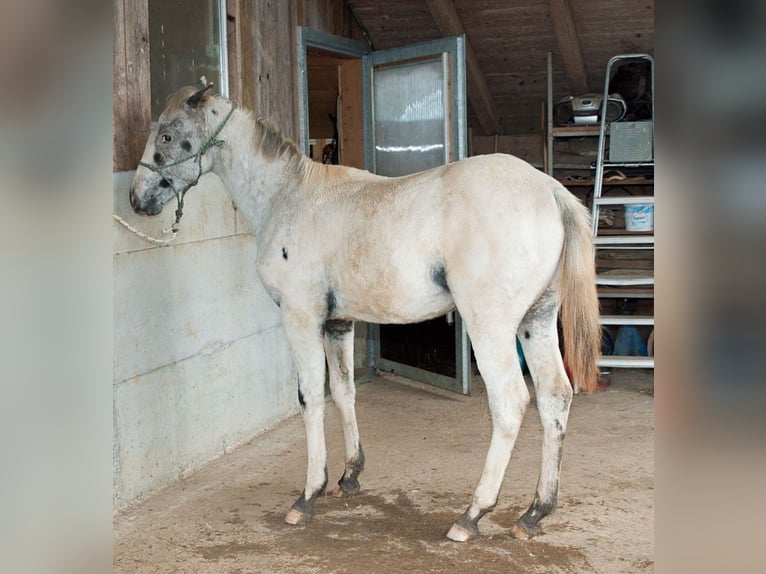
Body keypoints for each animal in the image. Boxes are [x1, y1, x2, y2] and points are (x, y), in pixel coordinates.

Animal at [129, 83, 604, 544]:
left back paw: (471, 516)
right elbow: (343, 392)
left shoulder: (301, 318)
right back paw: (535, 513)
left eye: (166, 136)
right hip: (536, 321)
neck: (289, 197)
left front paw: (308, 495)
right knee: (554, 396)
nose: (137, 198)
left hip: (489, 328)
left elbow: (310, 396)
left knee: (510, 403)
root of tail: (549, 190)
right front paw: (349, 476)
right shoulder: (338, 324)